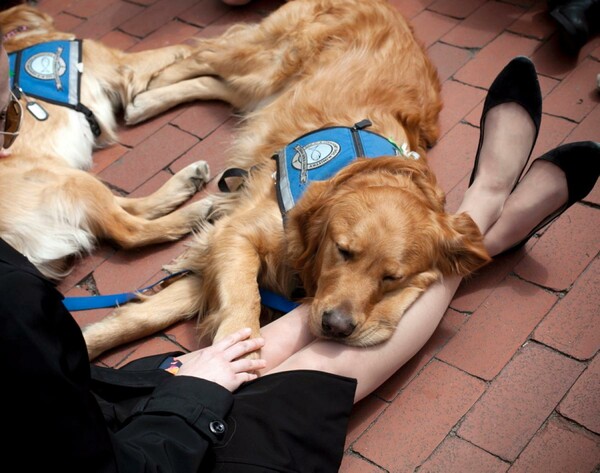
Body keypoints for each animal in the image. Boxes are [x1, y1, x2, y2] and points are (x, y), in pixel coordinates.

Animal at [0, 6, 211, 280]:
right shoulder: (119, 64)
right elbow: (179, 48)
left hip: (69, 178)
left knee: (131, 207)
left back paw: (187, 180)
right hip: (65, 179)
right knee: (129, 229)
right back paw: (195, 211)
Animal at [82, 0, 490, 358]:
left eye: (392, 277)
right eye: (343, 251)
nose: (337, 326)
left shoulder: (218, 256)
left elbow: (145, 314)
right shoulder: (236, 235)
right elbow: (242, 300)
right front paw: (234, 356)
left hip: (260, 84)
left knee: (215, 82)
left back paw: (146, 101)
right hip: (267, 60)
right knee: (198, 54)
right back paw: (141, 85)